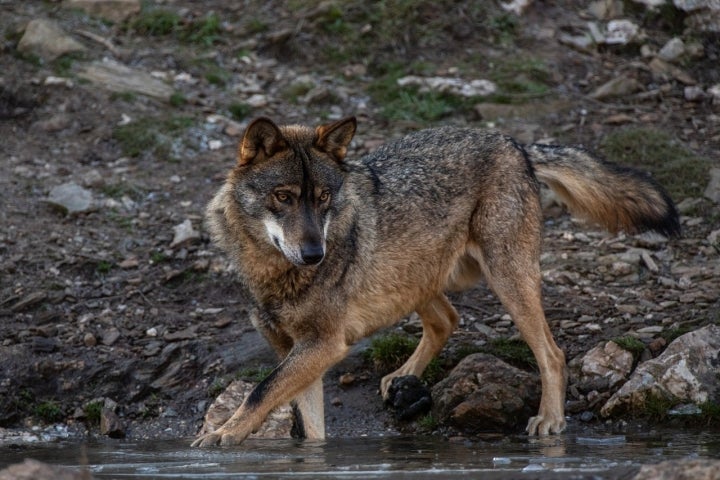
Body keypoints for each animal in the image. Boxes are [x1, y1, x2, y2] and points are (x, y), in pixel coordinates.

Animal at [190, 116, 676, 446]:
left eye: (324, 198)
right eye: (284, 197)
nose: (315, 254)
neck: (274, 273)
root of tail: (514, 142)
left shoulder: (324, 345)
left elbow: (260, 391)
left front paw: (221, 434)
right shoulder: (298, 351)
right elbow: (304, 425)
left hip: (506, 278)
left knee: (552, 354)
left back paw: (550, 421)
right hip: (414, 280)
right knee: (447, 319)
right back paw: (402, 377)